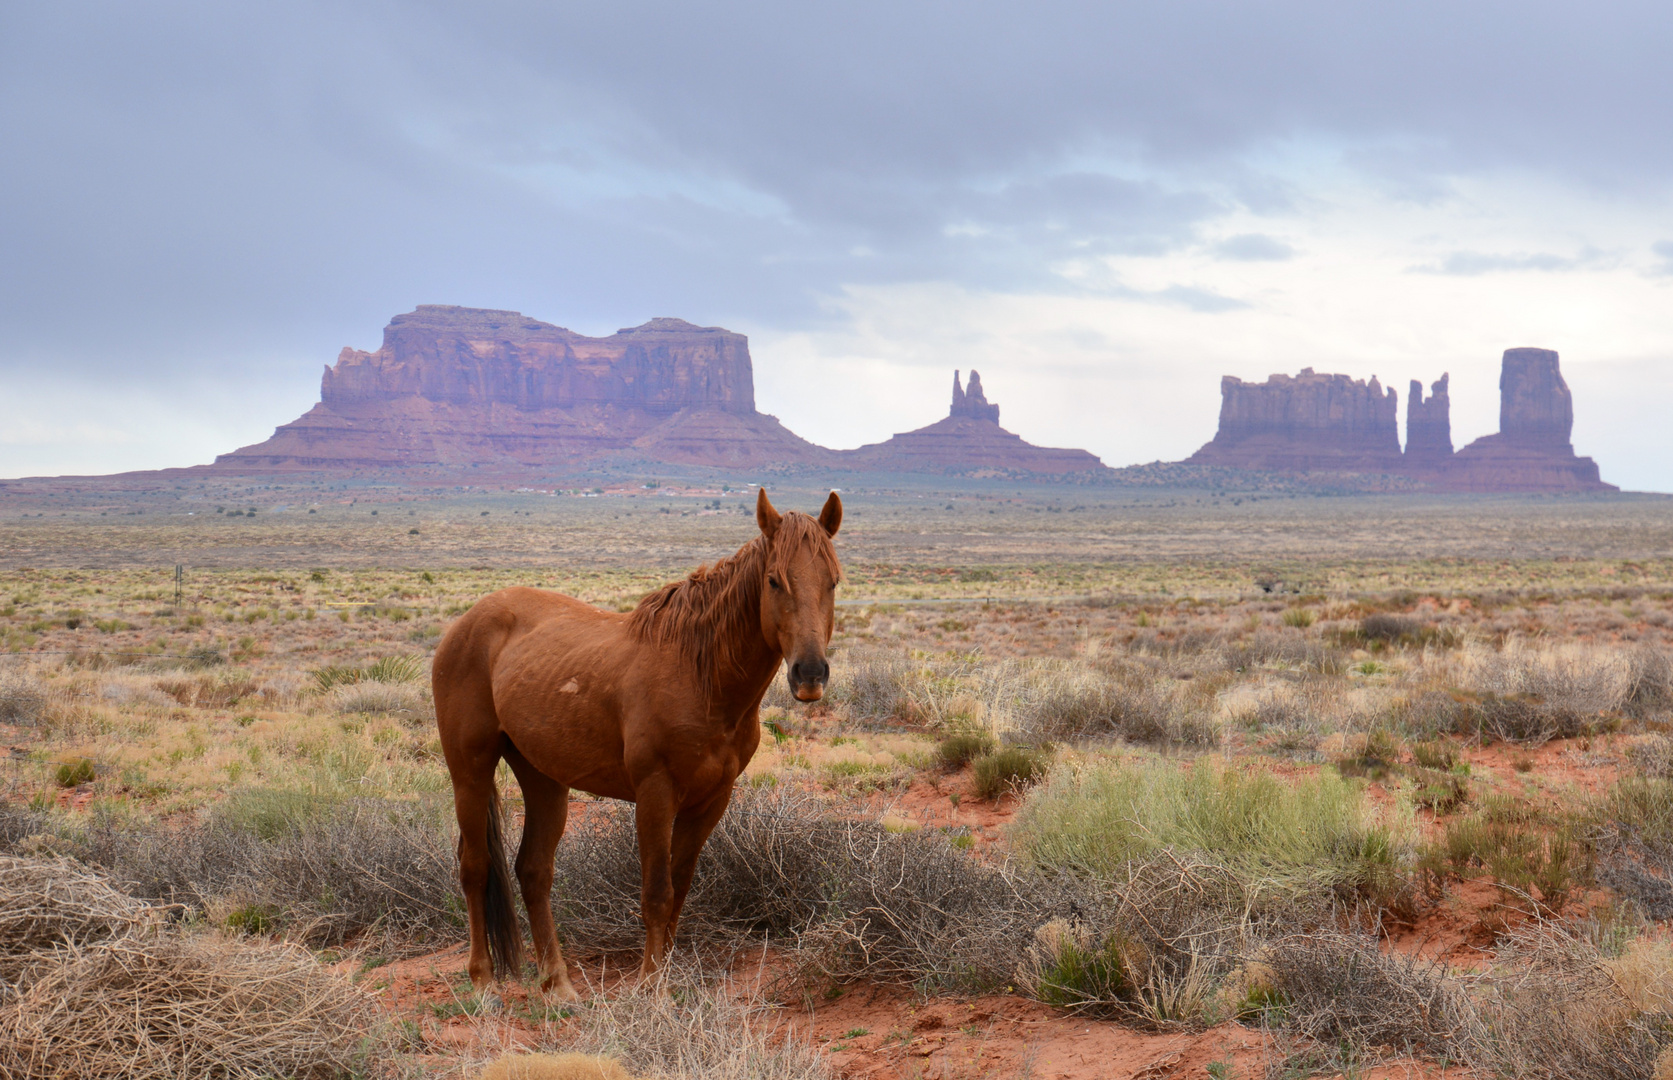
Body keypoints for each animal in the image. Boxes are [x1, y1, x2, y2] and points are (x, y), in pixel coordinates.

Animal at [438, 488, 843, 996]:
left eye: (833, 582)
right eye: (773, 581)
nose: (809, 675)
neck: (701, 676)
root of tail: (465, 622)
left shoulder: (711, 801)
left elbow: (680, 889)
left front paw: (666, 973)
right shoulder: (655, 793)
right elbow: (656, 893)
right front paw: (652, 984)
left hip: (543, 777)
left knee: (534, 872)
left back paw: (558, 984)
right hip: (469, 771)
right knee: (474, 867)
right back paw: (484, 980)